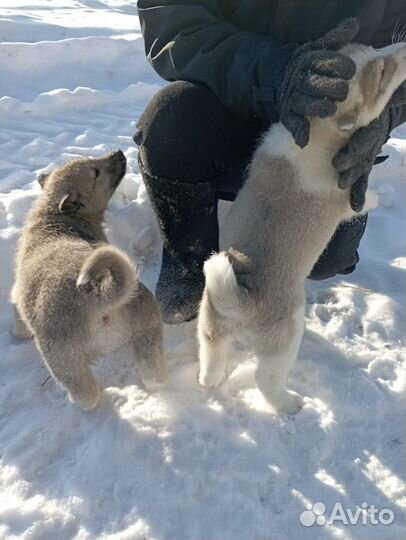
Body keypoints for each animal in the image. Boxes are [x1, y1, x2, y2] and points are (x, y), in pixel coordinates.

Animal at [197, 22, 406, 414]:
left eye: (373, 48)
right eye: (383, 74)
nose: (404, 47)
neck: (317, 129)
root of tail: (241, 302)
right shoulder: (347, 198)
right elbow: (362, 198)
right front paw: (378, 195)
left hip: (211, 326)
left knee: (211, 362)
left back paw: (212, 381)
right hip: (286, 337)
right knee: (265, 378)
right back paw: (290, 404)